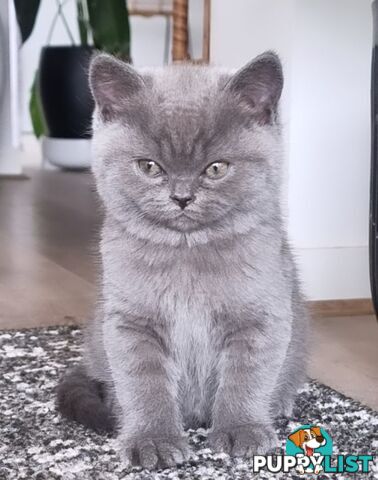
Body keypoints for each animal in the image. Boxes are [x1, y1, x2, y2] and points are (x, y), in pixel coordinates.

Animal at [57, 51, 308, 468]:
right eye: (149, 166)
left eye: (216, 168)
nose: (182, 197)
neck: (187, 253)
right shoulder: (130, 324)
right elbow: (144, 384)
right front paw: (153, 440)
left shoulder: (261, 316)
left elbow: (246, 376)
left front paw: (241, 430)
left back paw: (282, 401)